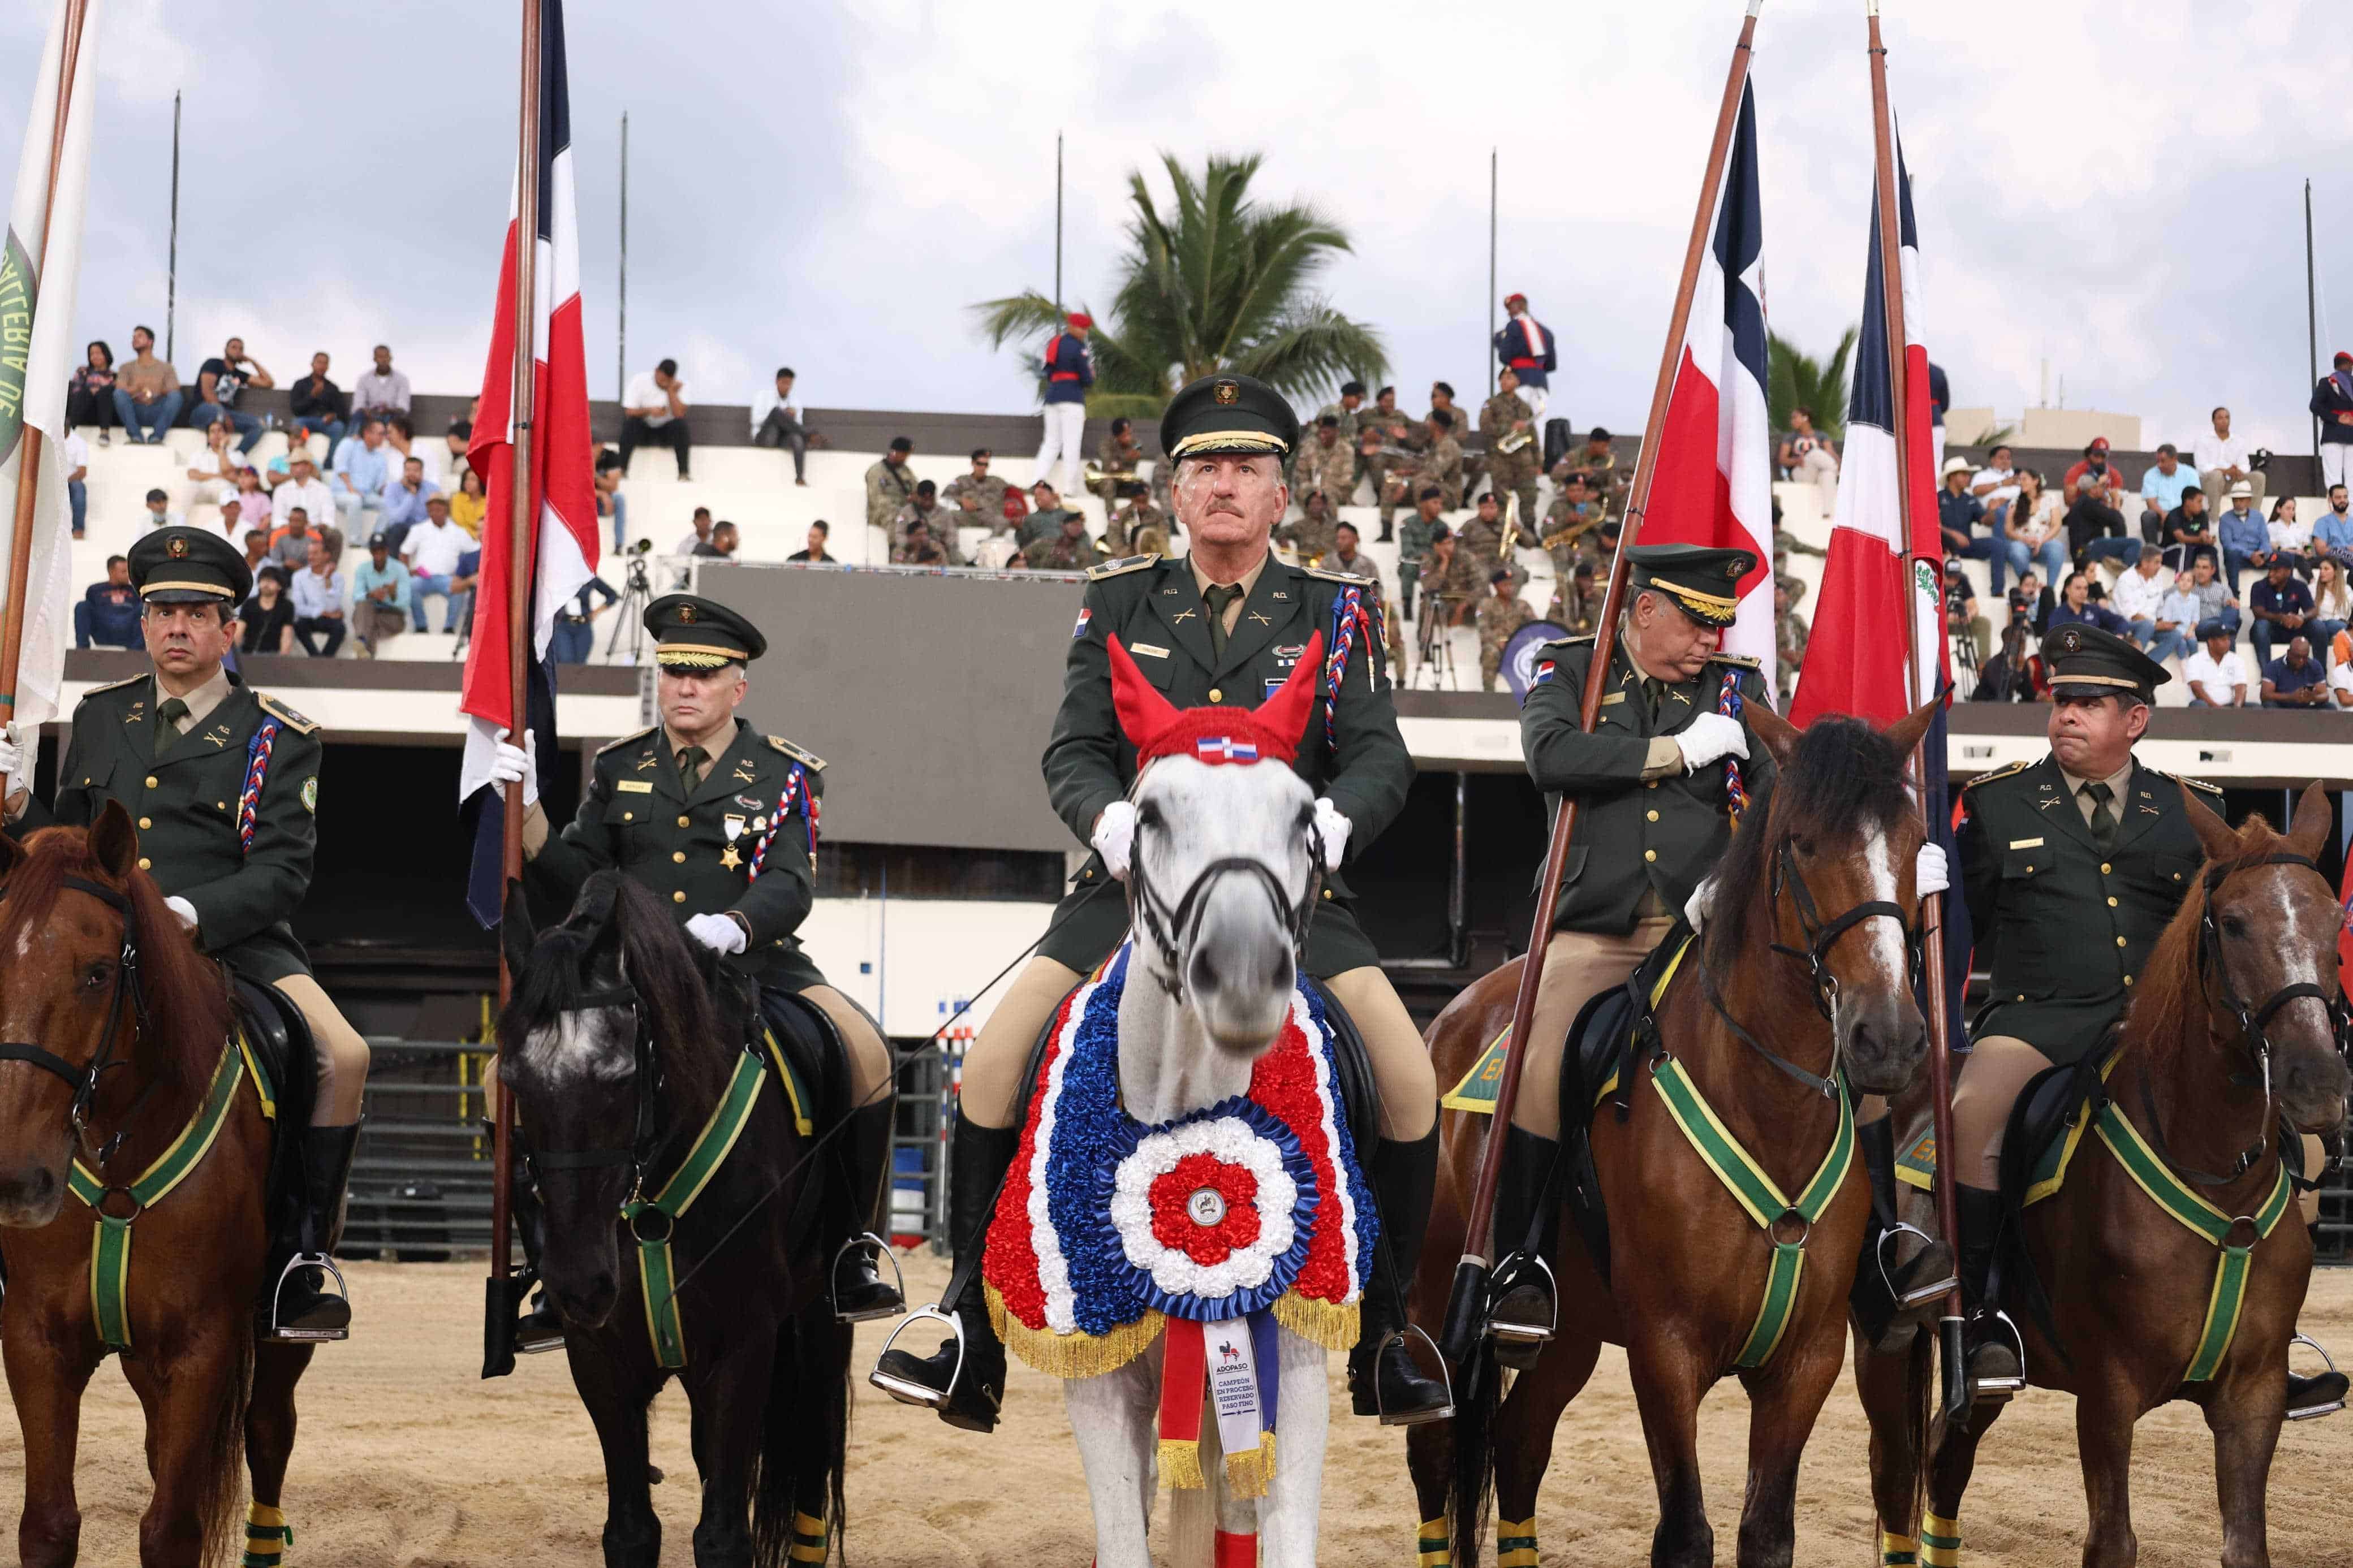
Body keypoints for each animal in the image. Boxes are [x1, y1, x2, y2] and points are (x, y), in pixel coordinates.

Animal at [0, 804, 317, 1561]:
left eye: (96, 974)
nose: (18, 1179)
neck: (119, 1157)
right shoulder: (34, 1340)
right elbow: (48, 1524)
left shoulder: (200, 1349)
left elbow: (171, 1529)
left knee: (269, 1432)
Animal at [496, 884, 856, 1568]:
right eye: (512, 1080)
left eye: (620, 1078)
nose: (580, 1283)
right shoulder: (599, 1355)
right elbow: (632, 1531)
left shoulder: (743, 1346)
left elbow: (722, 1536)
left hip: (820, 1320)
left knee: (811, 1449)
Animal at [1402, 710, 1938, 1568]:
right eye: (1800, 842)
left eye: (1914, 839)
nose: (1888, 1038)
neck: (1767, 1105)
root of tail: (1452, 1015)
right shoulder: (1664, 1348)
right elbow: (1685, 1532)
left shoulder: (1808, 1357)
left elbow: (1766, 1532)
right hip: (1435, 1297)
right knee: (1438, 1451)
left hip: (1570, 1333)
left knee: (1518, 1445)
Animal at [1863, 785, 2343, 1568]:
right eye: (2233, 922)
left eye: (2335, 919)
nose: (2317, 1081)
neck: (2217, 1180)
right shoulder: (2106, 1396)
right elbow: (2111, 1540)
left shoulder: (2253, 1395)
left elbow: (2245, 1543)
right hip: (1882, 1342)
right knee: (1896, 1477)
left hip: (1978, 1390)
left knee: (1942, 1465)